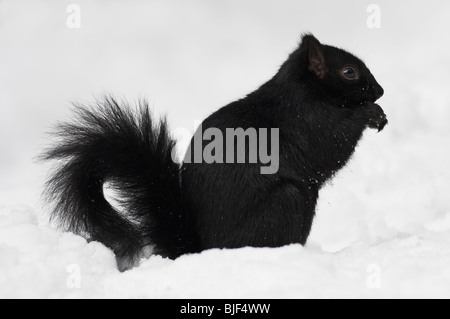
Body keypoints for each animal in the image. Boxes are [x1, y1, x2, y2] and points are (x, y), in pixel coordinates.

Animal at [43, 34, 386, 270]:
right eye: (349, 72)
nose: (380, 91)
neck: (302, 89)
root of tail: (201, 249)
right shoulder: (306, 121)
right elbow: (330, 145)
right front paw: (371, 114)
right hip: (287, 202)